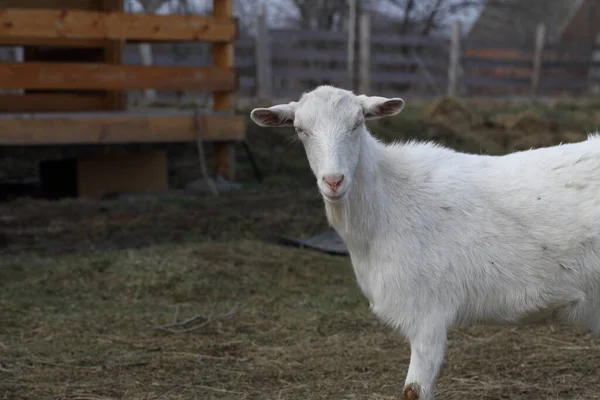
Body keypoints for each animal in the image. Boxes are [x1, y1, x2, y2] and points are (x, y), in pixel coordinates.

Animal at [250, 85, 600, 400]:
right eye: (300, 130)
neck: (388, 199)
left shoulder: (428, 311)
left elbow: (414, 391)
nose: (333, 181)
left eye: (357, 123)